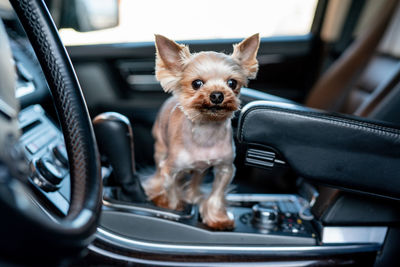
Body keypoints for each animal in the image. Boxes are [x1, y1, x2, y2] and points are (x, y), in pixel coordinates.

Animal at [144, 33, 260, 230]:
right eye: (196, 83)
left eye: (232, 83)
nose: (217, 95)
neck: (206, 131)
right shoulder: (169, 169)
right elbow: (171, 189)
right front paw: (172, 207)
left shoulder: (225, 169)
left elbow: (216, 195)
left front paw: (217, 219)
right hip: (160, 149)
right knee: (159, 173)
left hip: (202, 169)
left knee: (197, 177)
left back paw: (192, 194)